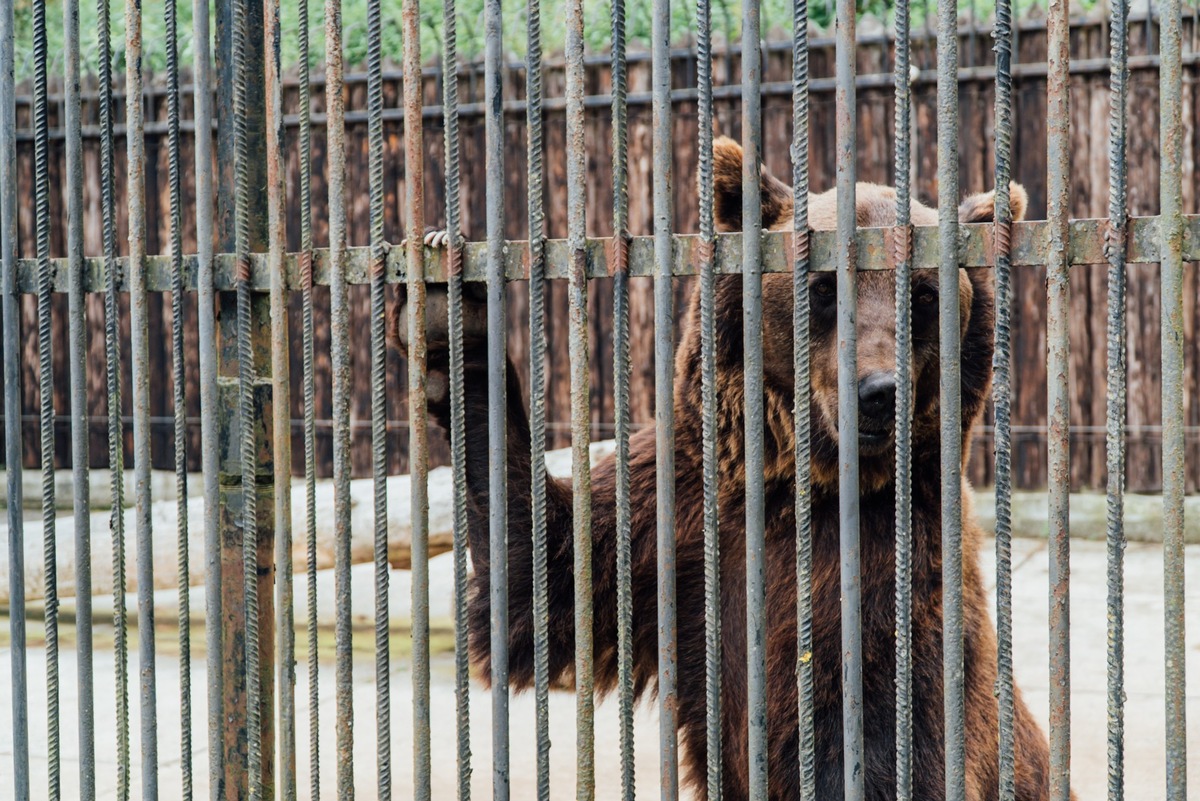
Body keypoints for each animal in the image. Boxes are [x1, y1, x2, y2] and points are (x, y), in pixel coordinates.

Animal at [396, 139, 1060, 801]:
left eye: (924, 296)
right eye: (824, 289)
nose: (880, 392)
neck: (801, 484)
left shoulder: (902, 577)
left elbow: (887, 740)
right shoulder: (678, 509)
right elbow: (547, 577)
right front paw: (449, 320)